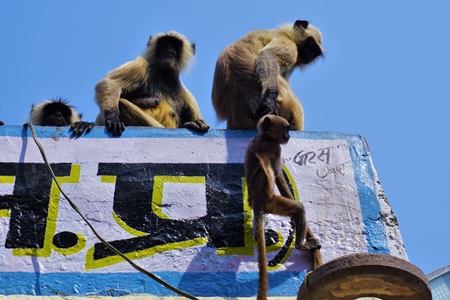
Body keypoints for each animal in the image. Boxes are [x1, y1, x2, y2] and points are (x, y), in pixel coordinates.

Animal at [246, 114, 320, 300]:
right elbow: (278, 173)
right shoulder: (276, 148)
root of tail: (259, 199)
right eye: (286, 129)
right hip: (274, 203)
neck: (265, 137)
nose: (288, 136)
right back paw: (302, 245)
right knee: (299, 209)